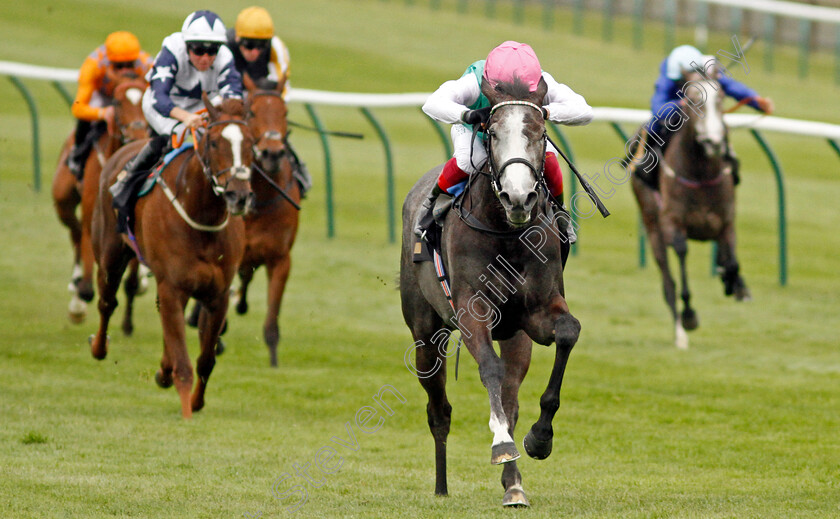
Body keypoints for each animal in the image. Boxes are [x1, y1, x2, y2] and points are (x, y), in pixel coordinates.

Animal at [51, 76, 150, 324]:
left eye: (145, 100)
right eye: (117, 102)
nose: (138, 136)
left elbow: (132, 276)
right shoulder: (93, 213)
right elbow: (88, 286)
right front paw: (79, 300)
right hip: (63, 200)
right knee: (75, 231)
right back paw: (76, 286)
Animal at [90, 96, 253, 418]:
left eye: (251, 143)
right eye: (214, 142)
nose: (239, 196)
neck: (201, 214)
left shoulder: (217, 294)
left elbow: (205, 359)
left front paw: (196, 402)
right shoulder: (172, 286)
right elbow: (184, 363)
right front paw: (187, 411)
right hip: (110, 252)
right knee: (107, 302)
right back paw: (99, 347)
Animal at [402, 78, 584, 508]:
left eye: (540, 133)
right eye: (494, 132)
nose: (518, 197)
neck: (505, 231)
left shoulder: (537, 313)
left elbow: (568, 332)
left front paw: (540, 438)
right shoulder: (471, 311)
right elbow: (489, 369)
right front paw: (501, 444)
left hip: (516, 336)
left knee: (511, 394)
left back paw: (514, 484)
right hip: (424, 335)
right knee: (439, 409)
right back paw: (442, 485)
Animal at [632, 63, 748, 352]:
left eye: (720, 98)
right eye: (693, 100)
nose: (713, 142)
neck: (701, 174)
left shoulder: (726, 222)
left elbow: (732, 261)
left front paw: (734, 284)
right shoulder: (672, 224)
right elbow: (682, 256)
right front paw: (689, 315)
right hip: (652, 227)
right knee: (668, 283)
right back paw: (680, 333)